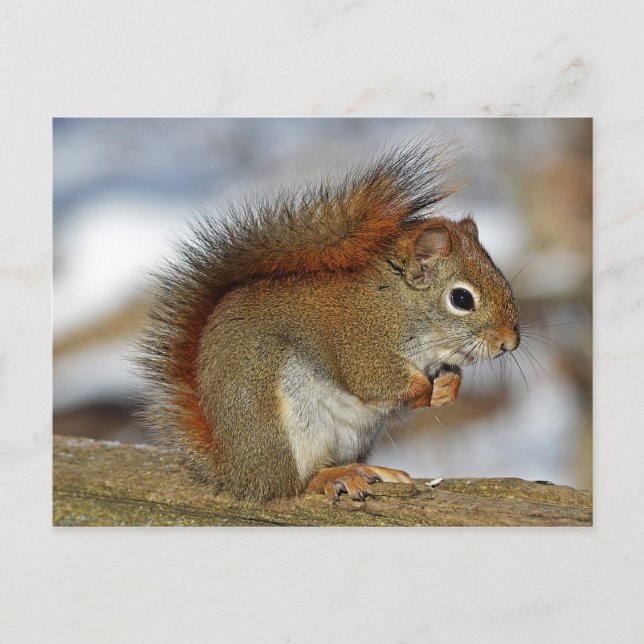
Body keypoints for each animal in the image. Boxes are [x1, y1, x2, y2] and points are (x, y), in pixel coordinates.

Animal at [138, 140, 521, 503]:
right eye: (461, 299)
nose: (509, 343)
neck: (399, 304)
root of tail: (236, 474)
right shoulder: (360, 338)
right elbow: (374, 380)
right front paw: (426, 389)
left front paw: (448, 387)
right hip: (285, 428)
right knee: (296, 482)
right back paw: (335, 476)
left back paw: (374, 471)